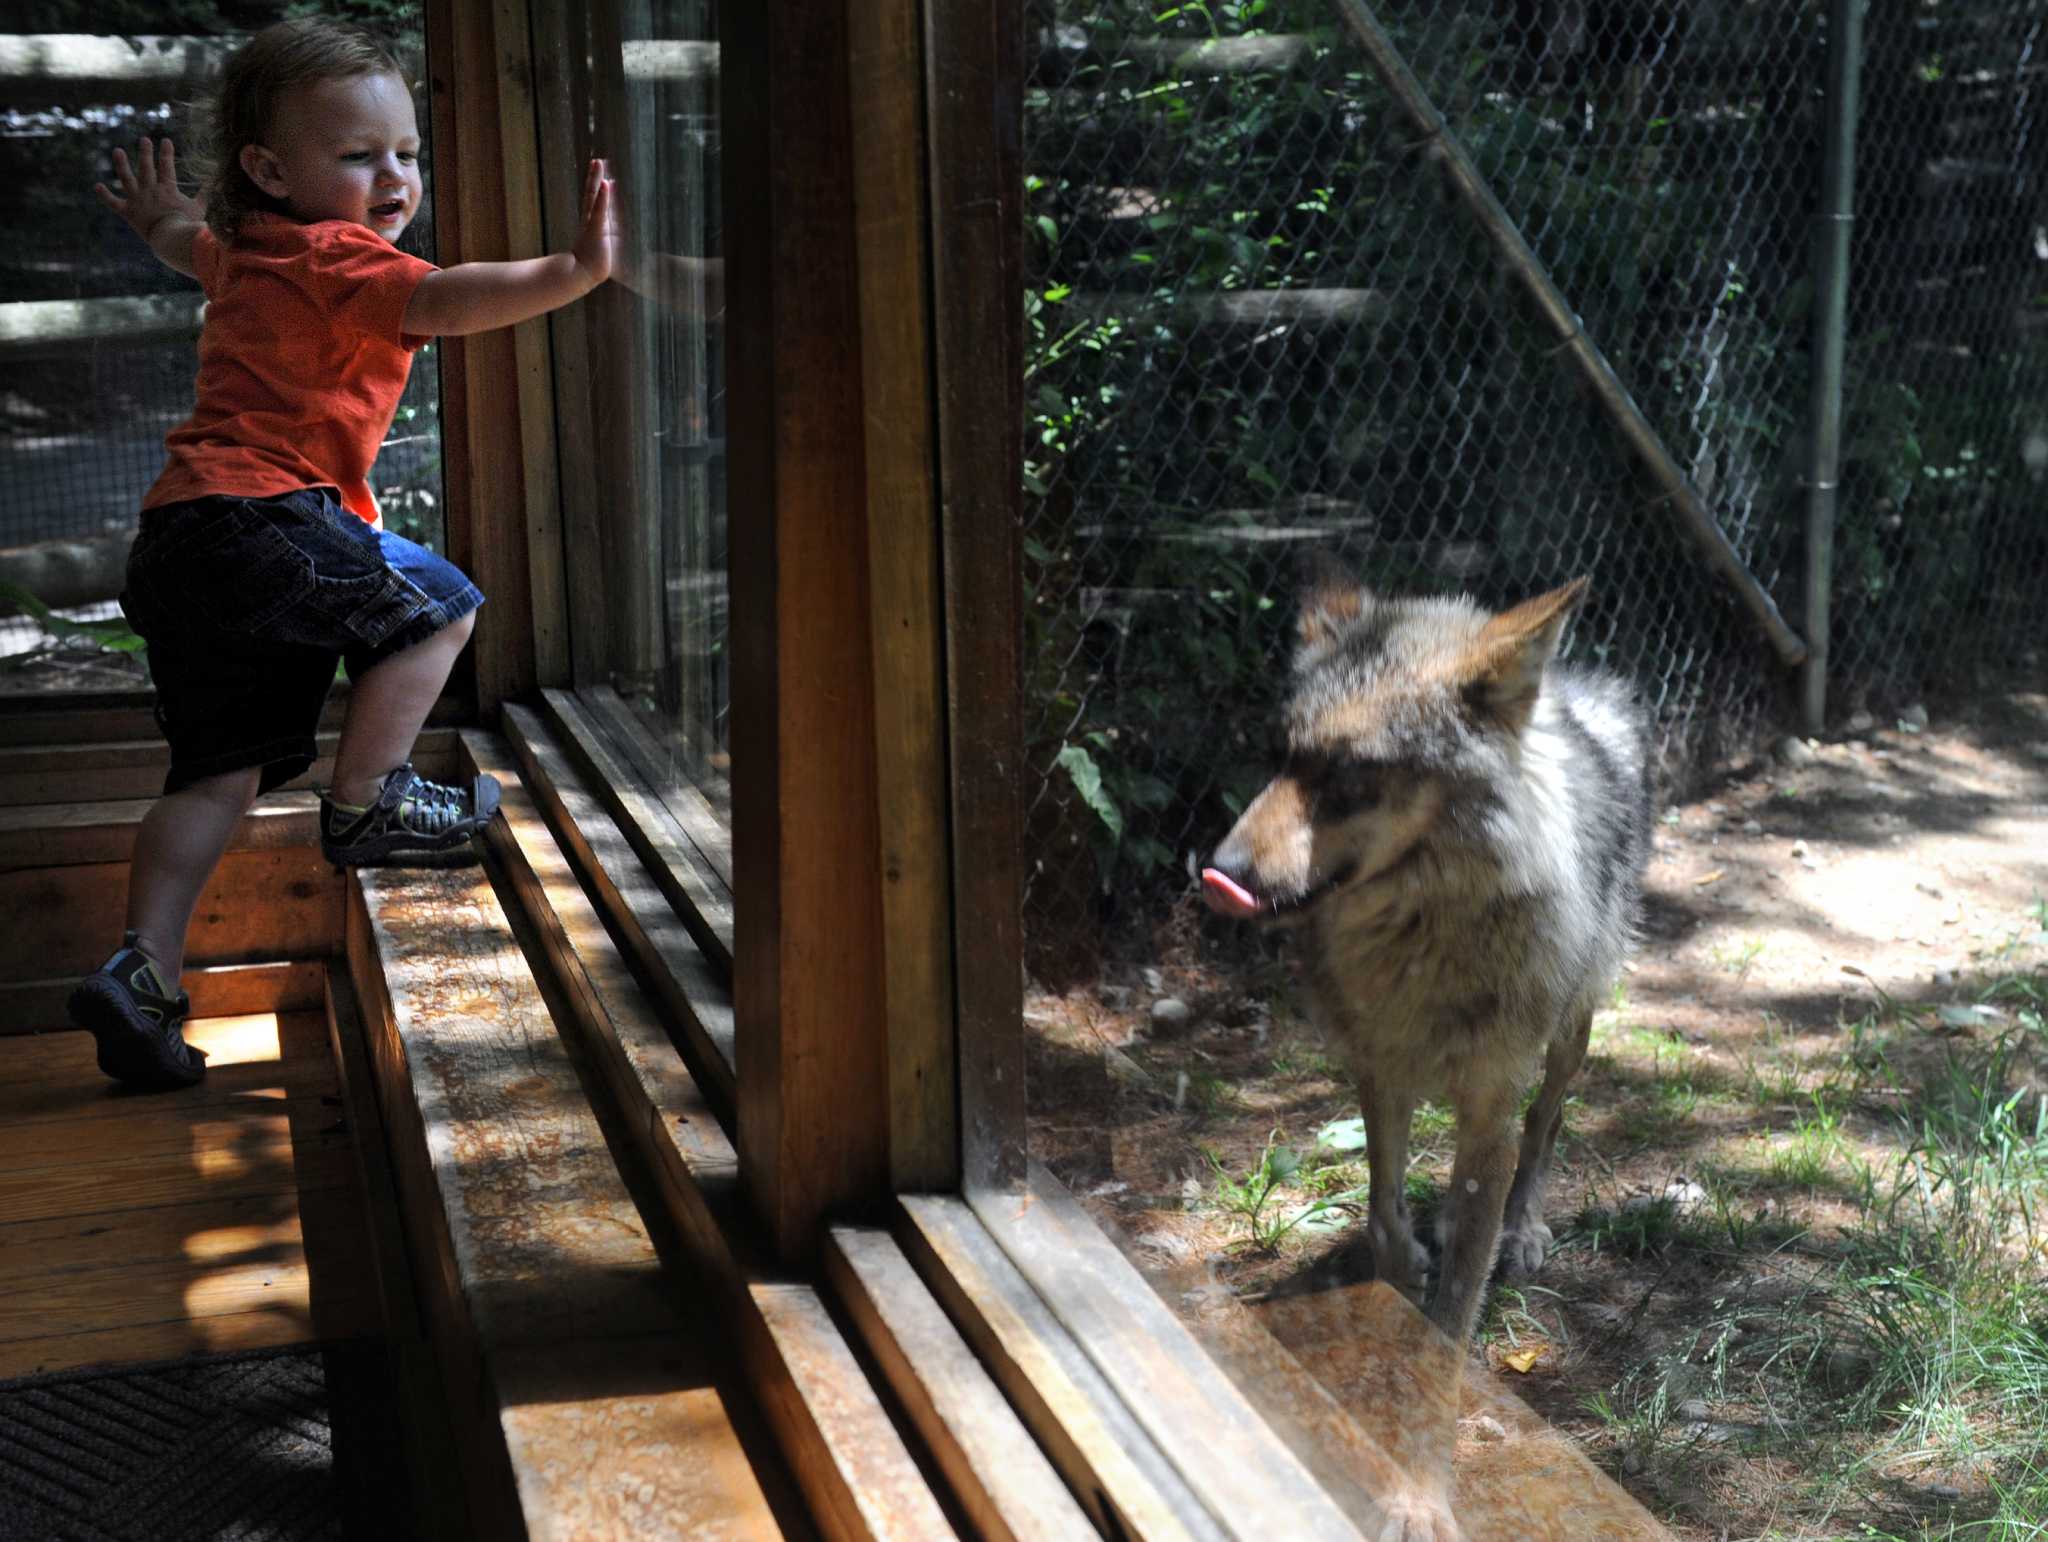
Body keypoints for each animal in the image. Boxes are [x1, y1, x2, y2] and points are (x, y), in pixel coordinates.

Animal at [1202, 567, 1651, 1343]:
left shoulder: (1491, 1103)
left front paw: (1440, 1346)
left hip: (1571, 1034)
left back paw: (1521, 1230)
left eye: (1351, 776)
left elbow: (1466, 1274)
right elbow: (1383, 1204)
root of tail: (1579, 695)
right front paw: (1403, 1268)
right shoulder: (1378, 1069)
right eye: (1280, 757)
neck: (1420, 941)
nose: (1216, 872)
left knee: (1547, 1122)